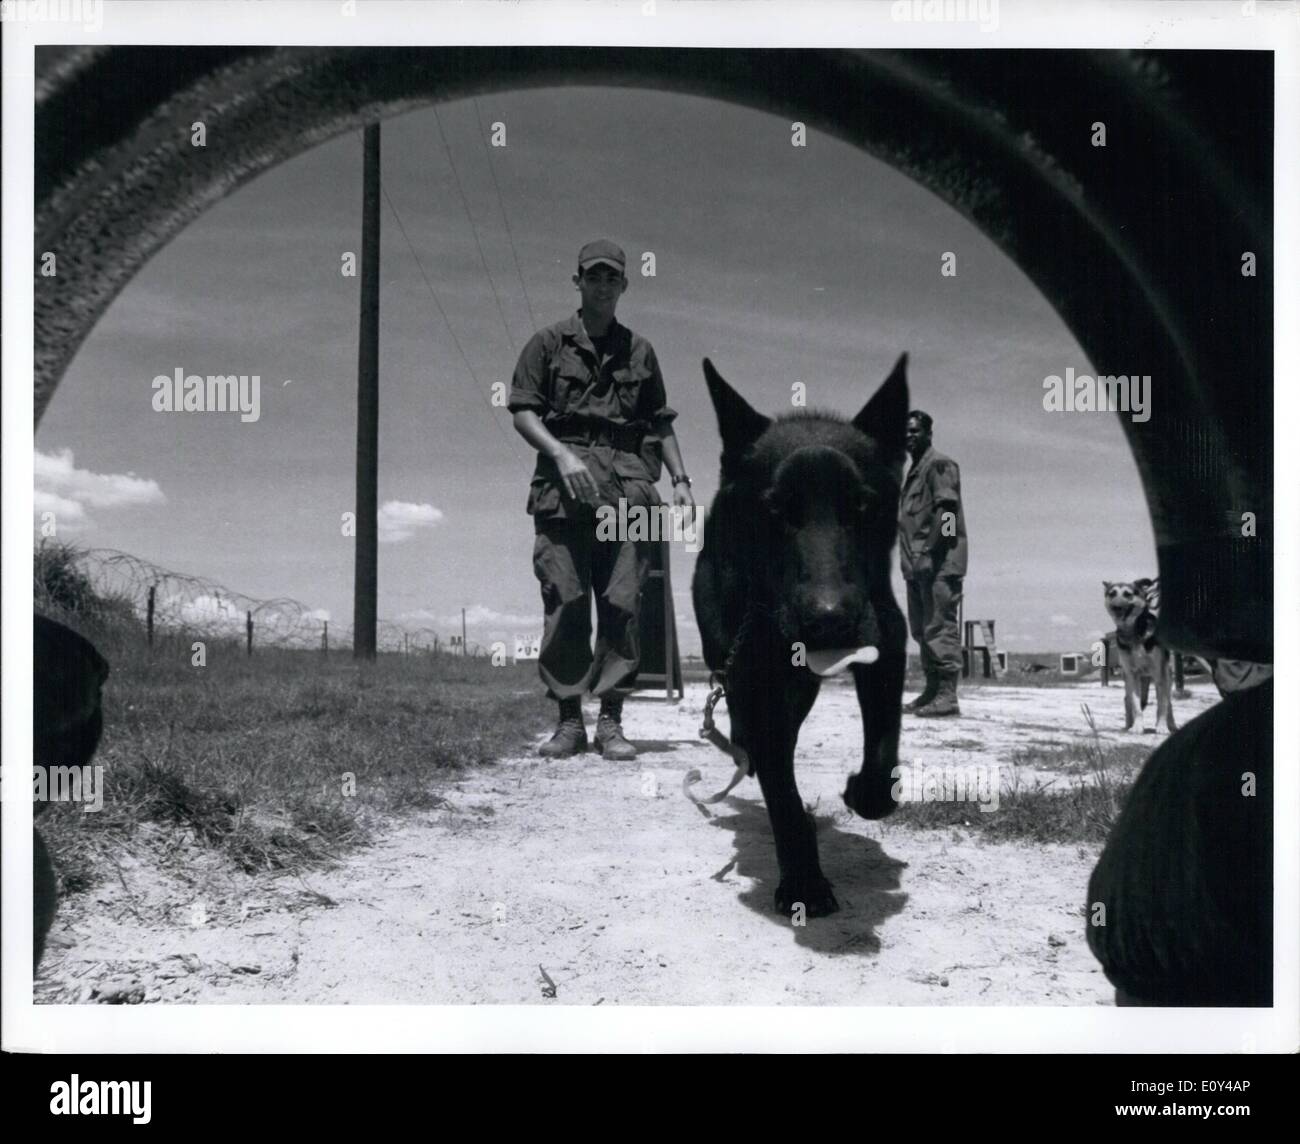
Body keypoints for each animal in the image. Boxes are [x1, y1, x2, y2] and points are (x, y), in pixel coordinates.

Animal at [696, 353, 909, 915]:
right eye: (775, 510)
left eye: (863, 506)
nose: (828, 619)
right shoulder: (751, 672)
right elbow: (782, 794)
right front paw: (804, 884)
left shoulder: (888, 637)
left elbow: (883, 746)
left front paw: (865, 791)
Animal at [1102, 579, 1175, 733]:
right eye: (1112, 594)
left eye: (1128, 594)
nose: (1116, 607)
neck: (1134, 631)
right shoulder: (1132, 675)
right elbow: (1135, 705)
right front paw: (1137, 726)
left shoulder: (1159, 675)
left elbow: (1162, 705)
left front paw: (1161, 727)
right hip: (1130, 680)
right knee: (1127, 699)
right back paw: (1128, 724)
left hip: (1167, 676)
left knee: (1168, 702)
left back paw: (1171, 725)